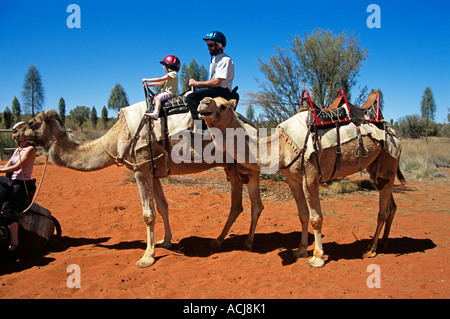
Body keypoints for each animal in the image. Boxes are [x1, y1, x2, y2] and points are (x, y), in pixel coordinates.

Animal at [13, 109, 264, 268]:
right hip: (231, 166)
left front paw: (147, 257)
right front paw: (165, 242)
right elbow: (162, 207)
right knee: (237, 205)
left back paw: (249, 244)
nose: (15, 131)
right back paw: (218, 241)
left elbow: (148, 214)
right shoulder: (152, 171)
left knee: (256, 205)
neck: (115, 138)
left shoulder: (140, 167)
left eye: (33, 122)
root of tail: (254, 126)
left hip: (247, 163)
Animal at [197, 97, 404, 268]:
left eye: (223, 106)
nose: (203, 103)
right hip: (377, 168)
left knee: (383, 211)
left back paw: (371, 249)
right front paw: (301, 250)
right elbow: (303, 214)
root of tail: (395, 132)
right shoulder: (293, 179)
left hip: (389, 160)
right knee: (391, 205)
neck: (279, 145)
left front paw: (317, 257)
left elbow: (315, 218)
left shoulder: (310, 176)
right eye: (209, 100)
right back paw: (383, 242)